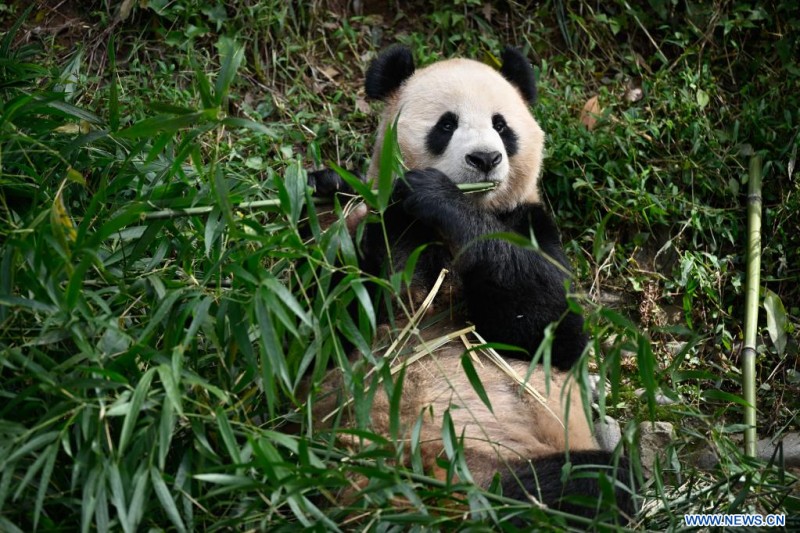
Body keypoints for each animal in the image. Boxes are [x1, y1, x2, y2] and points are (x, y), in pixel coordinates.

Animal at [308, 45, 635, 524]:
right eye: (447, 124)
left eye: (502, 126)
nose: (485, 159)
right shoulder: (384, 227)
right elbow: (322, 326)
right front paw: (327, 190)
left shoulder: (530, 225)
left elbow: (550, 330)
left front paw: (437, 196)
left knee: (598, 484)